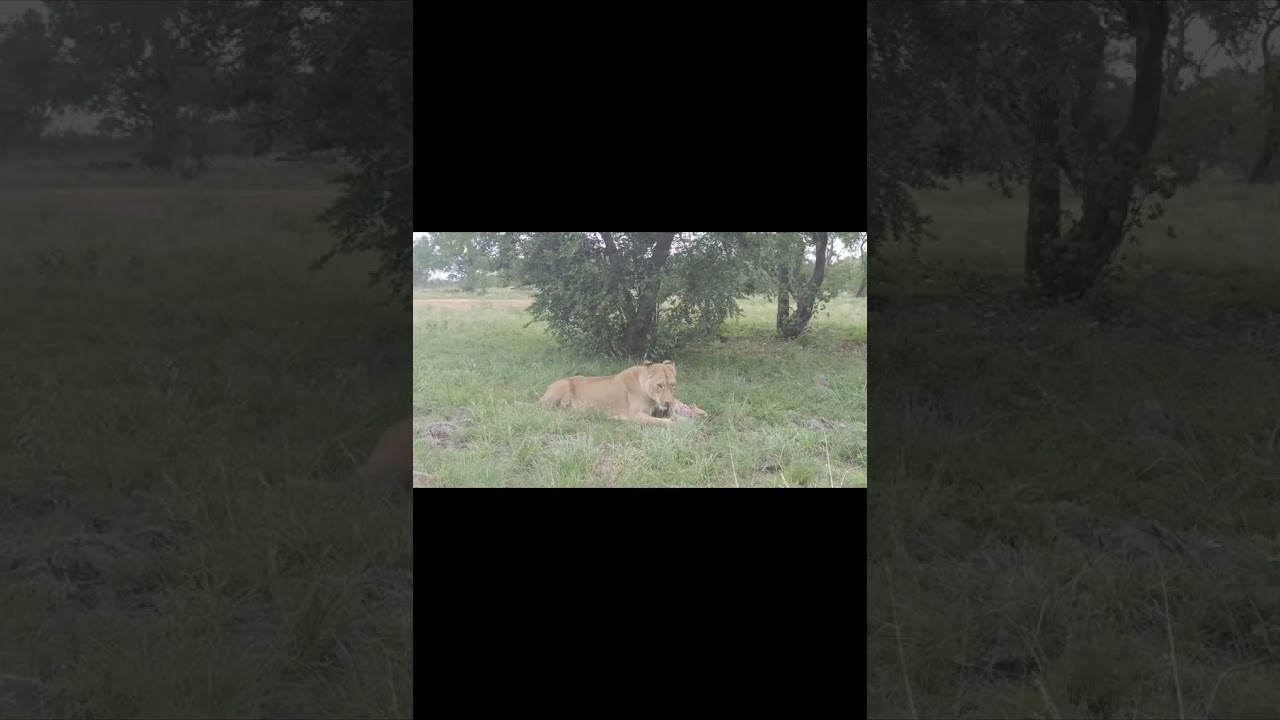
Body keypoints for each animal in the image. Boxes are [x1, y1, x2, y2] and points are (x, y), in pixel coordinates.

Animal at [536, 361, 678, 426]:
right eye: (659, 385)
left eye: (673, 385)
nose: (669, 402)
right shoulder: (636, 416)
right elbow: (660, 422)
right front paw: (676, 423)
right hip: (563, 384)